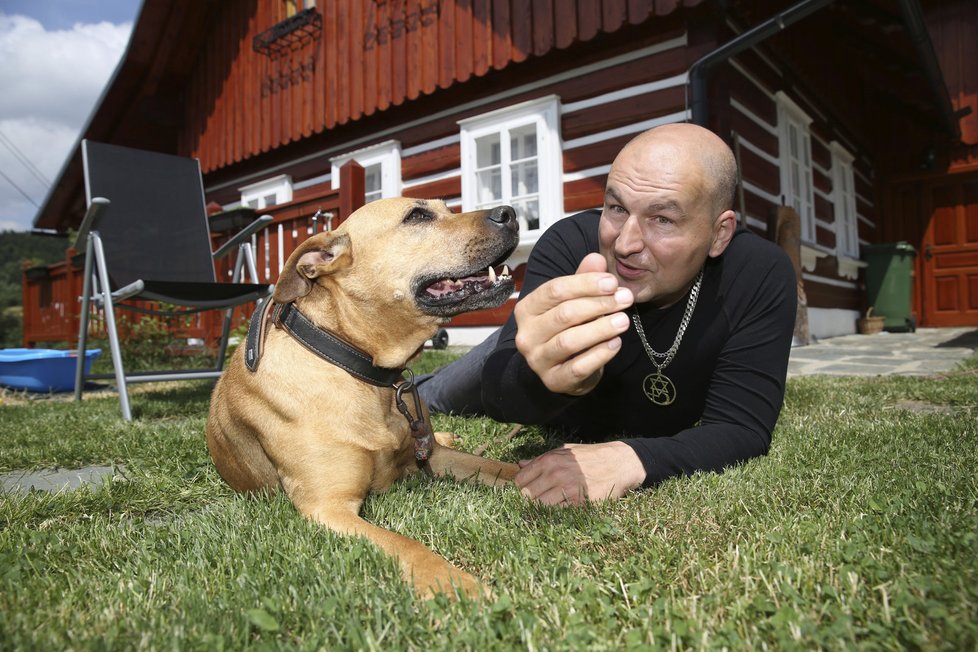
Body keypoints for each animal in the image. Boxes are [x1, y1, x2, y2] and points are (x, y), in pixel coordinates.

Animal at [208, 196, 520, 600]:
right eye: (416, 215)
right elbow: (408, 546)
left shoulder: (433, 455)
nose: (511, 213)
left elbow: (508, 469)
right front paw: (456, 585)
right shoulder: (329, 508)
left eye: (446, 208)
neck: (359, 367)